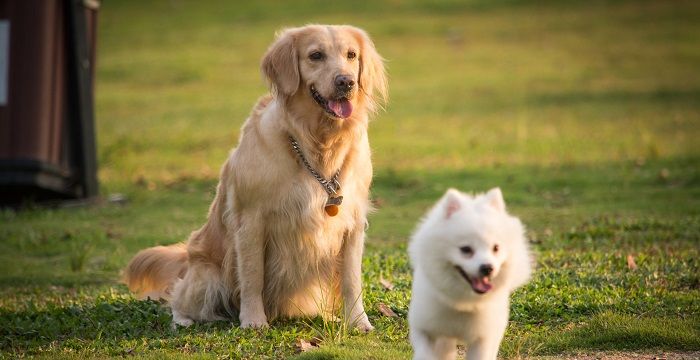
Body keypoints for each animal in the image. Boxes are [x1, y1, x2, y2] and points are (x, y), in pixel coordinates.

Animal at [408, 187, 532, 358]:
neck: (464, 303)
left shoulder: (483, 338)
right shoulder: (424, 327)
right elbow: (425, 353)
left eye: (496, 248)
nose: (487, 267)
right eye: (466, 249)